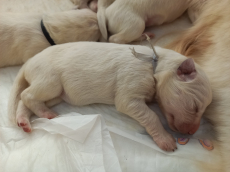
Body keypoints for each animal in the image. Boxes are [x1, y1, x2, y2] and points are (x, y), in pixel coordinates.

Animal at [7, 42, 212, 151]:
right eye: (195, 106)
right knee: (27, 94)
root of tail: (28, 62)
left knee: (26, 100)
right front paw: (166, 140)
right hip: (50, 80)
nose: (192, 133)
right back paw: (46, 114)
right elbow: (151, 115)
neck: (154, 64)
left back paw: (24, 120)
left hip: (57, 93)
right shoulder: (130, 91)